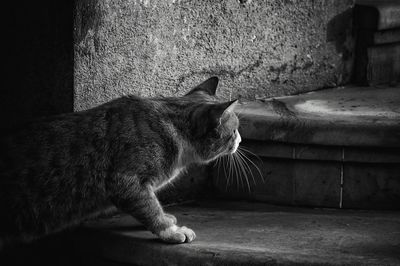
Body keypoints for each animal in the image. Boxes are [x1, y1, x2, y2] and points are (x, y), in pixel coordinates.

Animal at [0, 76, 241, 248]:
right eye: (234, 130)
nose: (240, 139)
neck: (173, 128)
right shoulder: (125, 180)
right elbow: (149, 207)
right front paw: (170, 231)